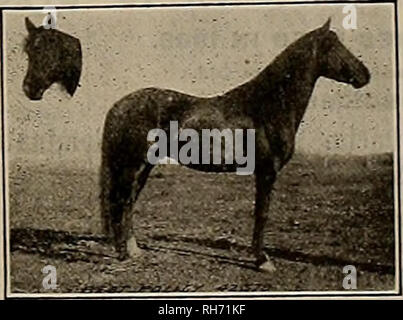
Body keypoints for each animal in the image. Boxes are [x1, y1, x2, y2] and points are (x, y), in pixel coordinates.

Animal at [100, 18, 370, 272]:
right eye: (334, 46)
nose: (365, 74)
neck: (267, 106)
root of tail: (119, 105)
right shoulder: (267, 171)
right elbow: (262, 214)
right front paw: (262, 261)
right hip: (132, 166)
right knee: (121, 201)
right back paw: (126, 253)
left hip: (143, 167)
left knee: (127, 202)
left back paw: (132, 249)